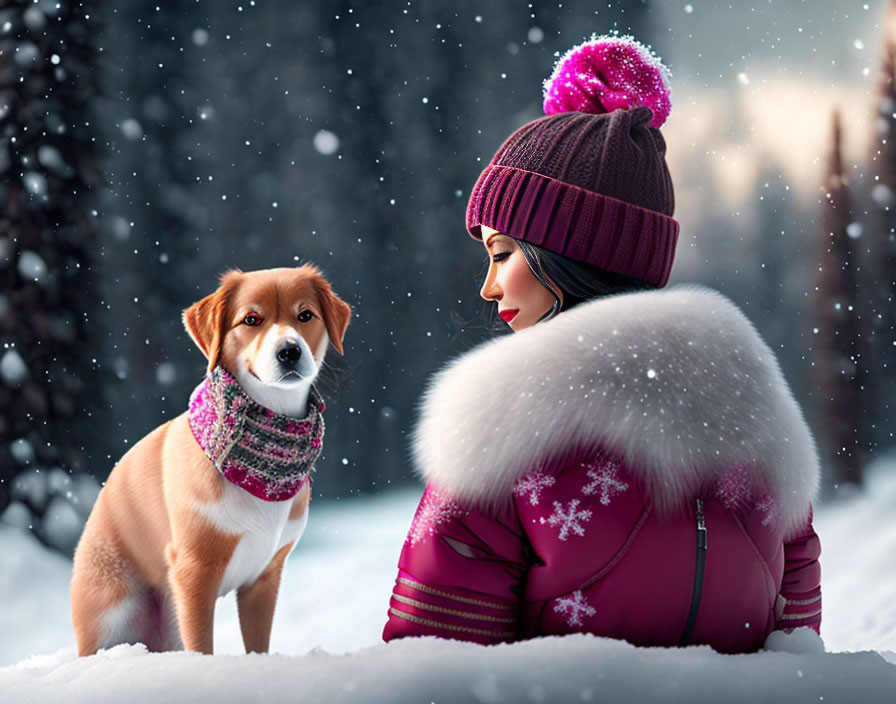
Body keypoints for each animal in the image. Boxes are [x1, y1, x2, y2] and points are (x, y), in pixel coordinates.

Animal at [71, 264, 350, 656]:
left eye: (305, 315)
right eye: (251, 319)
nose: (289, 351)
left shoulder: (264, 578)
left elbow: (257, 645)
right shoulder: (194, 571)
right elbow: (201, 646)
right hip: (114, 615)